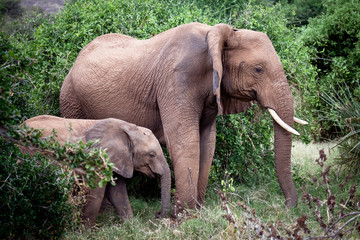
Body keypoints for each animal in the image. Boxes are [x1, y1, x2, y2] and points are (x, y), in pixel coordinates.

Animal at [22, 115, 172, 228]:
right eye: (151, 155)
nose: (157, 214)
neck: (128, 127)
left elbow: (118, 192)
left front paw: (132, 226)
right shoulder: (96, 157)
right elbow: (96, 192)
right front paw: (84, 233)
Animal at [59, 22, 306, 210]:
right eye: (258, 70)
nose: (287, 206)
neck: (213, 35)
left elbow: (207, 142)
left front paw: (197, 209)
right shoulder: (176, 80)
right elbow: (185, 140)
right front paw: (184, 213)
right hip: (70, 99)